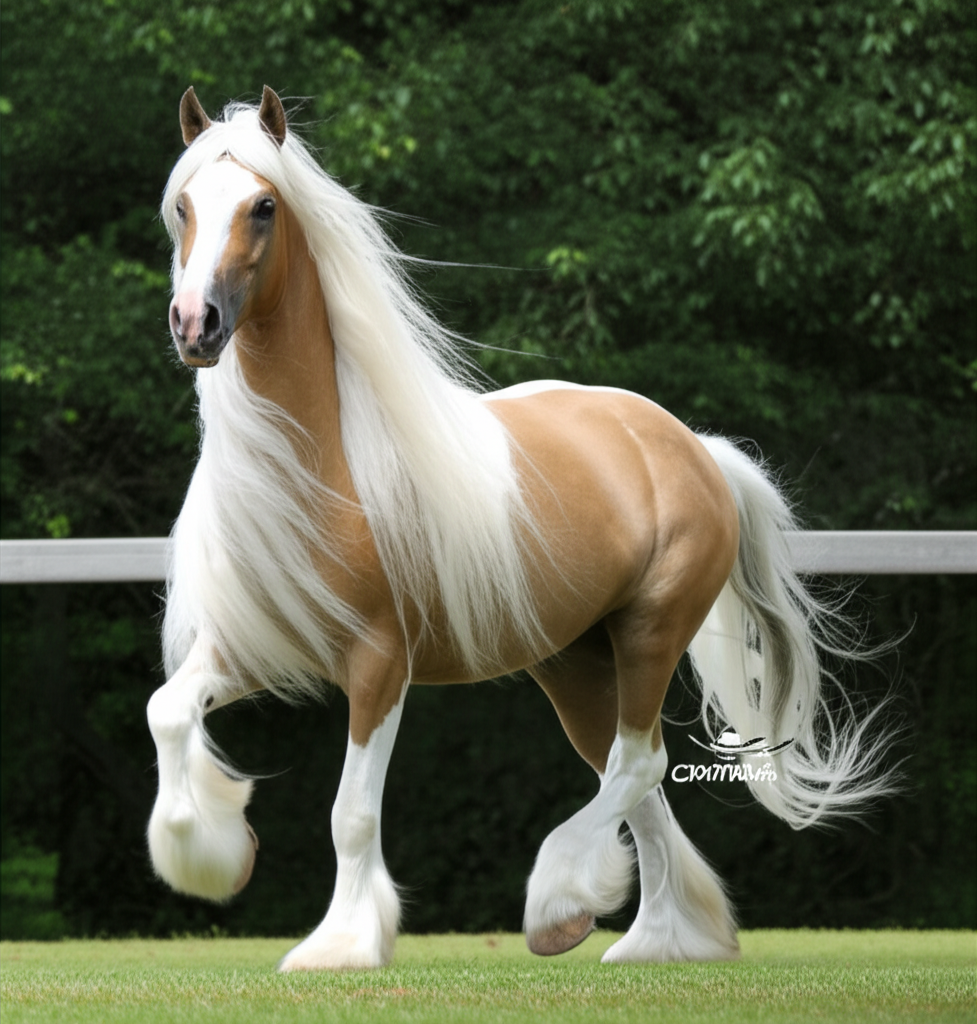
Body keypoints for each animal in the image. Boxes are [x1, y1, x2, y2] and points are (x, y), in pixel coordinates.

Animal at [147, 86, 895, 970]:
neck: (327, 464)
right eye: (184, 206)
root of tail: (692, 447)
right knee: (633, 778)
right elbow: (167, 710)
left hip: (650, 631)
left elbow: (351, 814)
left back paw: (562, 905)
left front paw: (341, 946)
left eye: (262, 206)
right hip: (573, 663)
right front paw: (211, 858)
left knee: (637, 764)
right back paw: (654, 938)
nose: (195, 323)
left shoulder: (378, 664)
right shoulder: (259, 646)